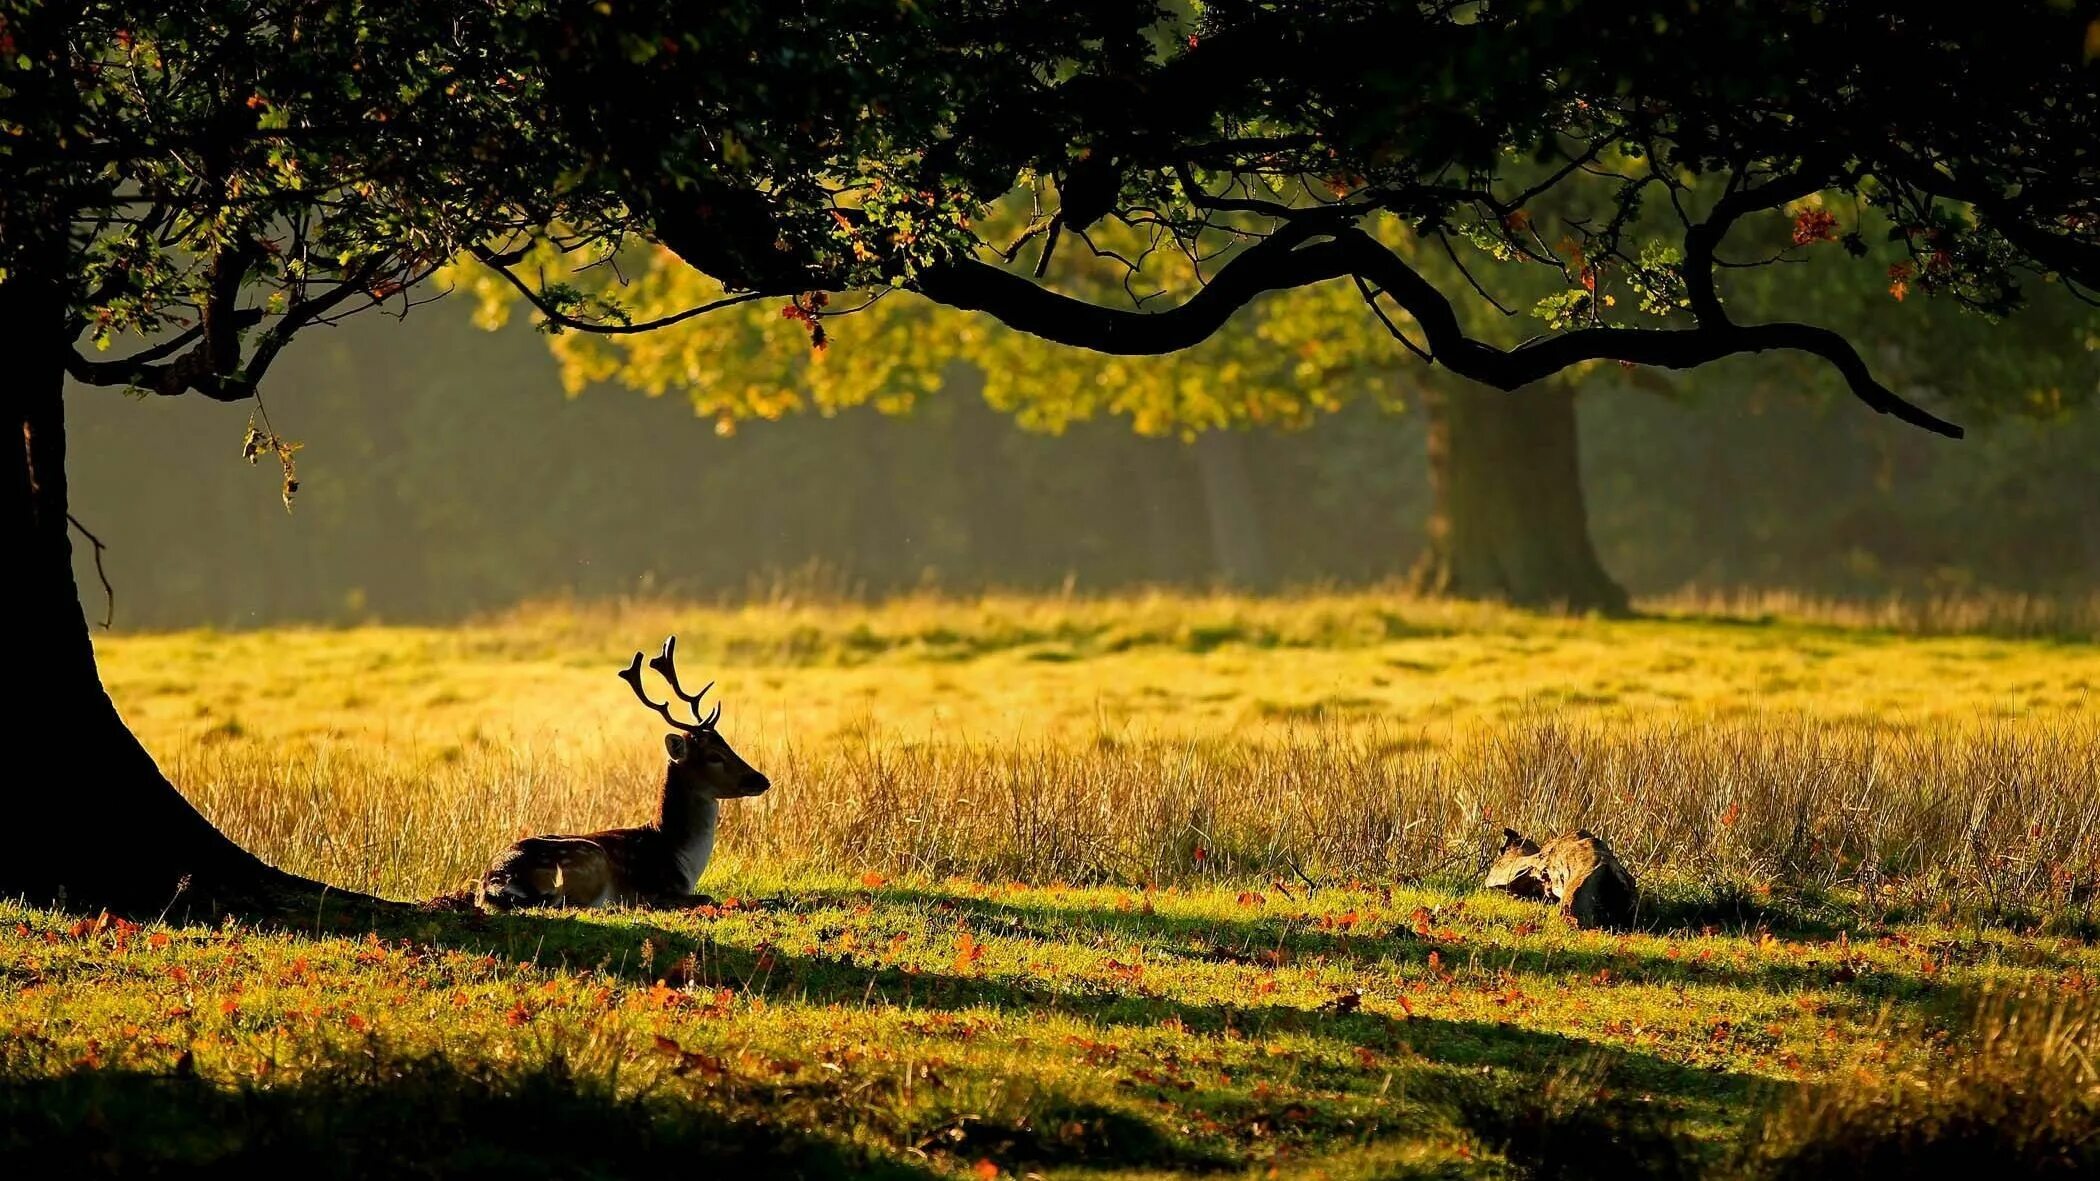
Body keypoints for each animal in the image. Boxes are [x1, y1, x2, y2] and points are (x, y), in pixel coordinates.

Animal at [478, 638, 772, 903]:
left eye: (726, 744)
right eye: (713, 756)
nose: (761, 780)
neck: (682, 860)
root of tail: (495, 880)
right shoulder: (656, 889)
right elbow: (708, 897)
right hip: (588, 859)